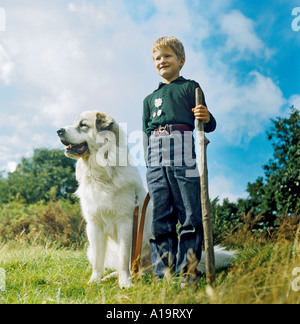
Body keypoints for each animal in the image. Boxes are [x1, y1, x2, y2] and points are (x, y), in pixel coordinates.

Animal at [58, 111, 237, 288]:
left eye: (83, 125)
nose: (59, 130)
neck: (102, 173)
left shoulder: (126, 223)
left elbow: (124, 258)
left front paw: (125, 283)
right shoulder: (94, 225)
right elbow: (98, 259)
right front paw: (94, 281)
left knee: (146, 269)